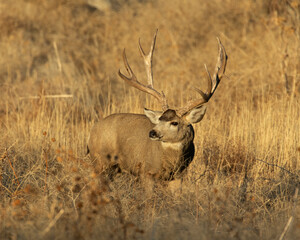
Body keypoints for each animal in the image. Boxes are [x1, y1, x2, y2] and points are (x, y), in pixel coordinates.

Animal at [88, 30, 229, 183]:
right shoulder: (146, 172)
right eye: (159, 119)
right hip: (100, 161)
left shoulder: (178, 176)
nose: (152, 132)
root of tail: (92, 132)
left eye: (174, 122)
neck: (169, 162)